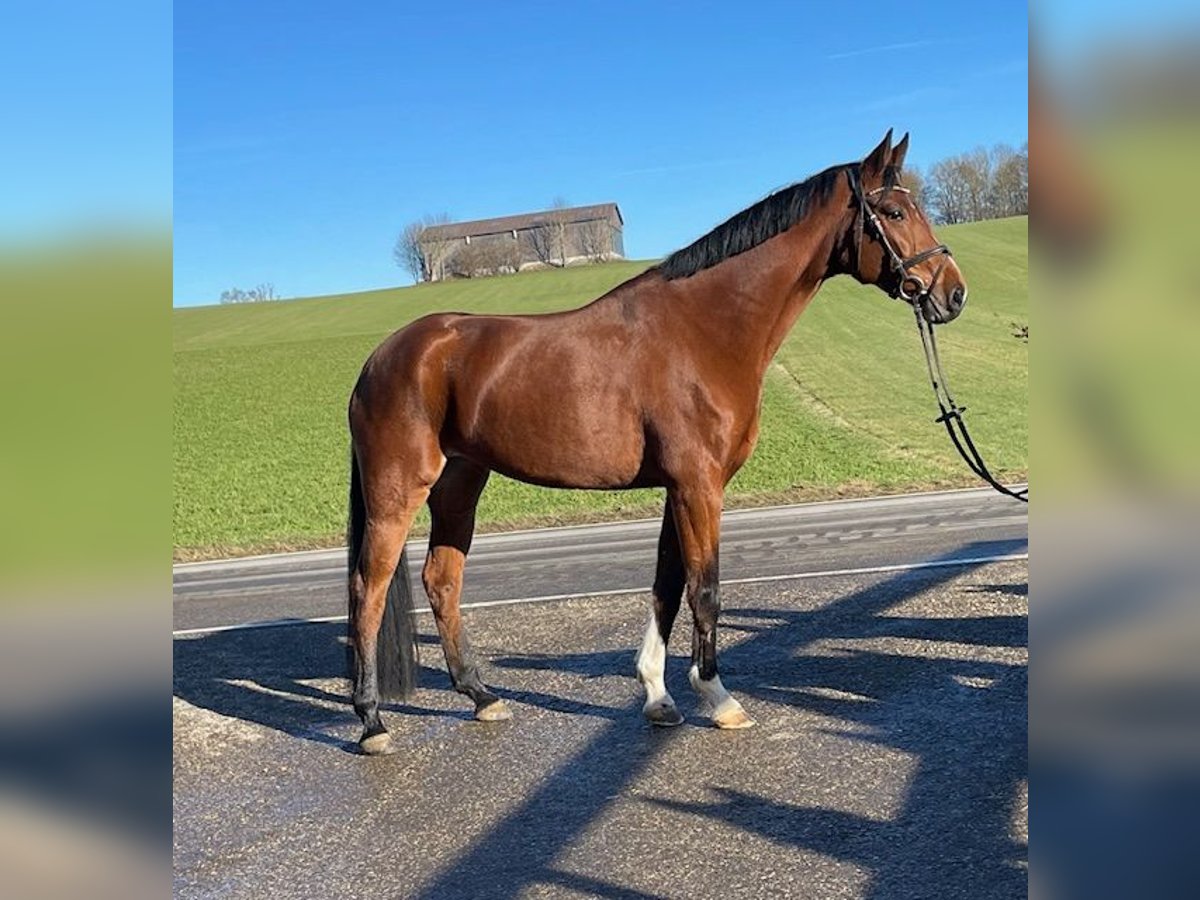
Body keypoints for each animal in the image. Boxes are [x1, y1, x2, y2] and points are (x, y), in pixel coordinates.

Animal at [345, 132, 964, 753]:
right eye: (894, 212)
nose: (953, 293)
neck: (705, 329)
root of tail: (380, 358)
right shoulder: (699, 486)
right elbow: (705, 588)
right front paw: (719, 698)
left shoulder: (678, 488)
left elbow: (668, 584)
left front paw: (658, 696)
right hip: (397, 488)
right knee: (368, 588)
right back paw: (372, 721)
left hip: (460, 484)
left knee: (441, 581)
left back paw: (481, 697)